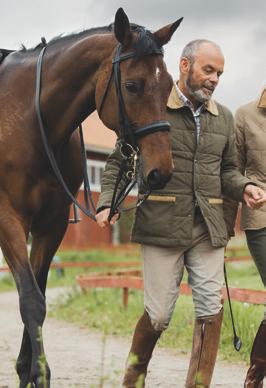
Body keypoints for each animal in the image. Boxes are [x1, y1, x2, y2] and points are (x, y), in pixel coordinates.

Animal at [0, 6, 182, 388]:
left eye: (169, 85)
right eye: (132, 85)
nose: (161, 170)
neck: (25, 120)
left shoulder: (50, 225)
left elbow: (38, 292)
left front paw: (29, 371)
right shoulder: (7, 219)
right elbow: (30, 300)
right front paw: (37, 373)